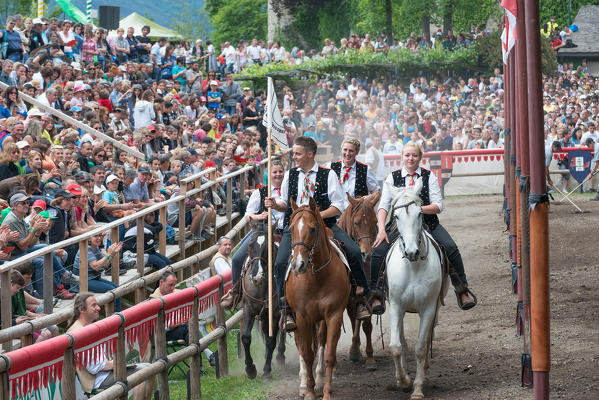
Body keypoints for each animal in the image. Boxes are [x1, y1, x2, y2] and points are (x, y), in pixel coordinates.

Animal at [288, 198, 352, 400]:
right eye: (291, 229)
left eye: (312, 229)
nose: (298, 265)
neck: (316, 278)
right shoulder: (302, 318)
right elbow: (307, 354)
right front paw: (309, 391)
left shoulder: (333, 315)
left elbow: (329, 355)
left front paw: (326, 392)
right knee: (301, 345)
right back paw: (303, 383)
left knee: (321, 341)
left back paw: (320, 375)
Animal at [384, 178, 450, 400]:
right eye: (396, 215)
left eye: (420, 213)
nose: (412, 252)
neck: (413, 267)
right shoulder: (396, 306)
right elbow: (396, 346)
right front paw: (403, 381)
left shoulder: (428, 307)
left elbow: (420, 348)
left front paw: (418, 388)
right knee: (402, 340)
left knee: (428, 336)